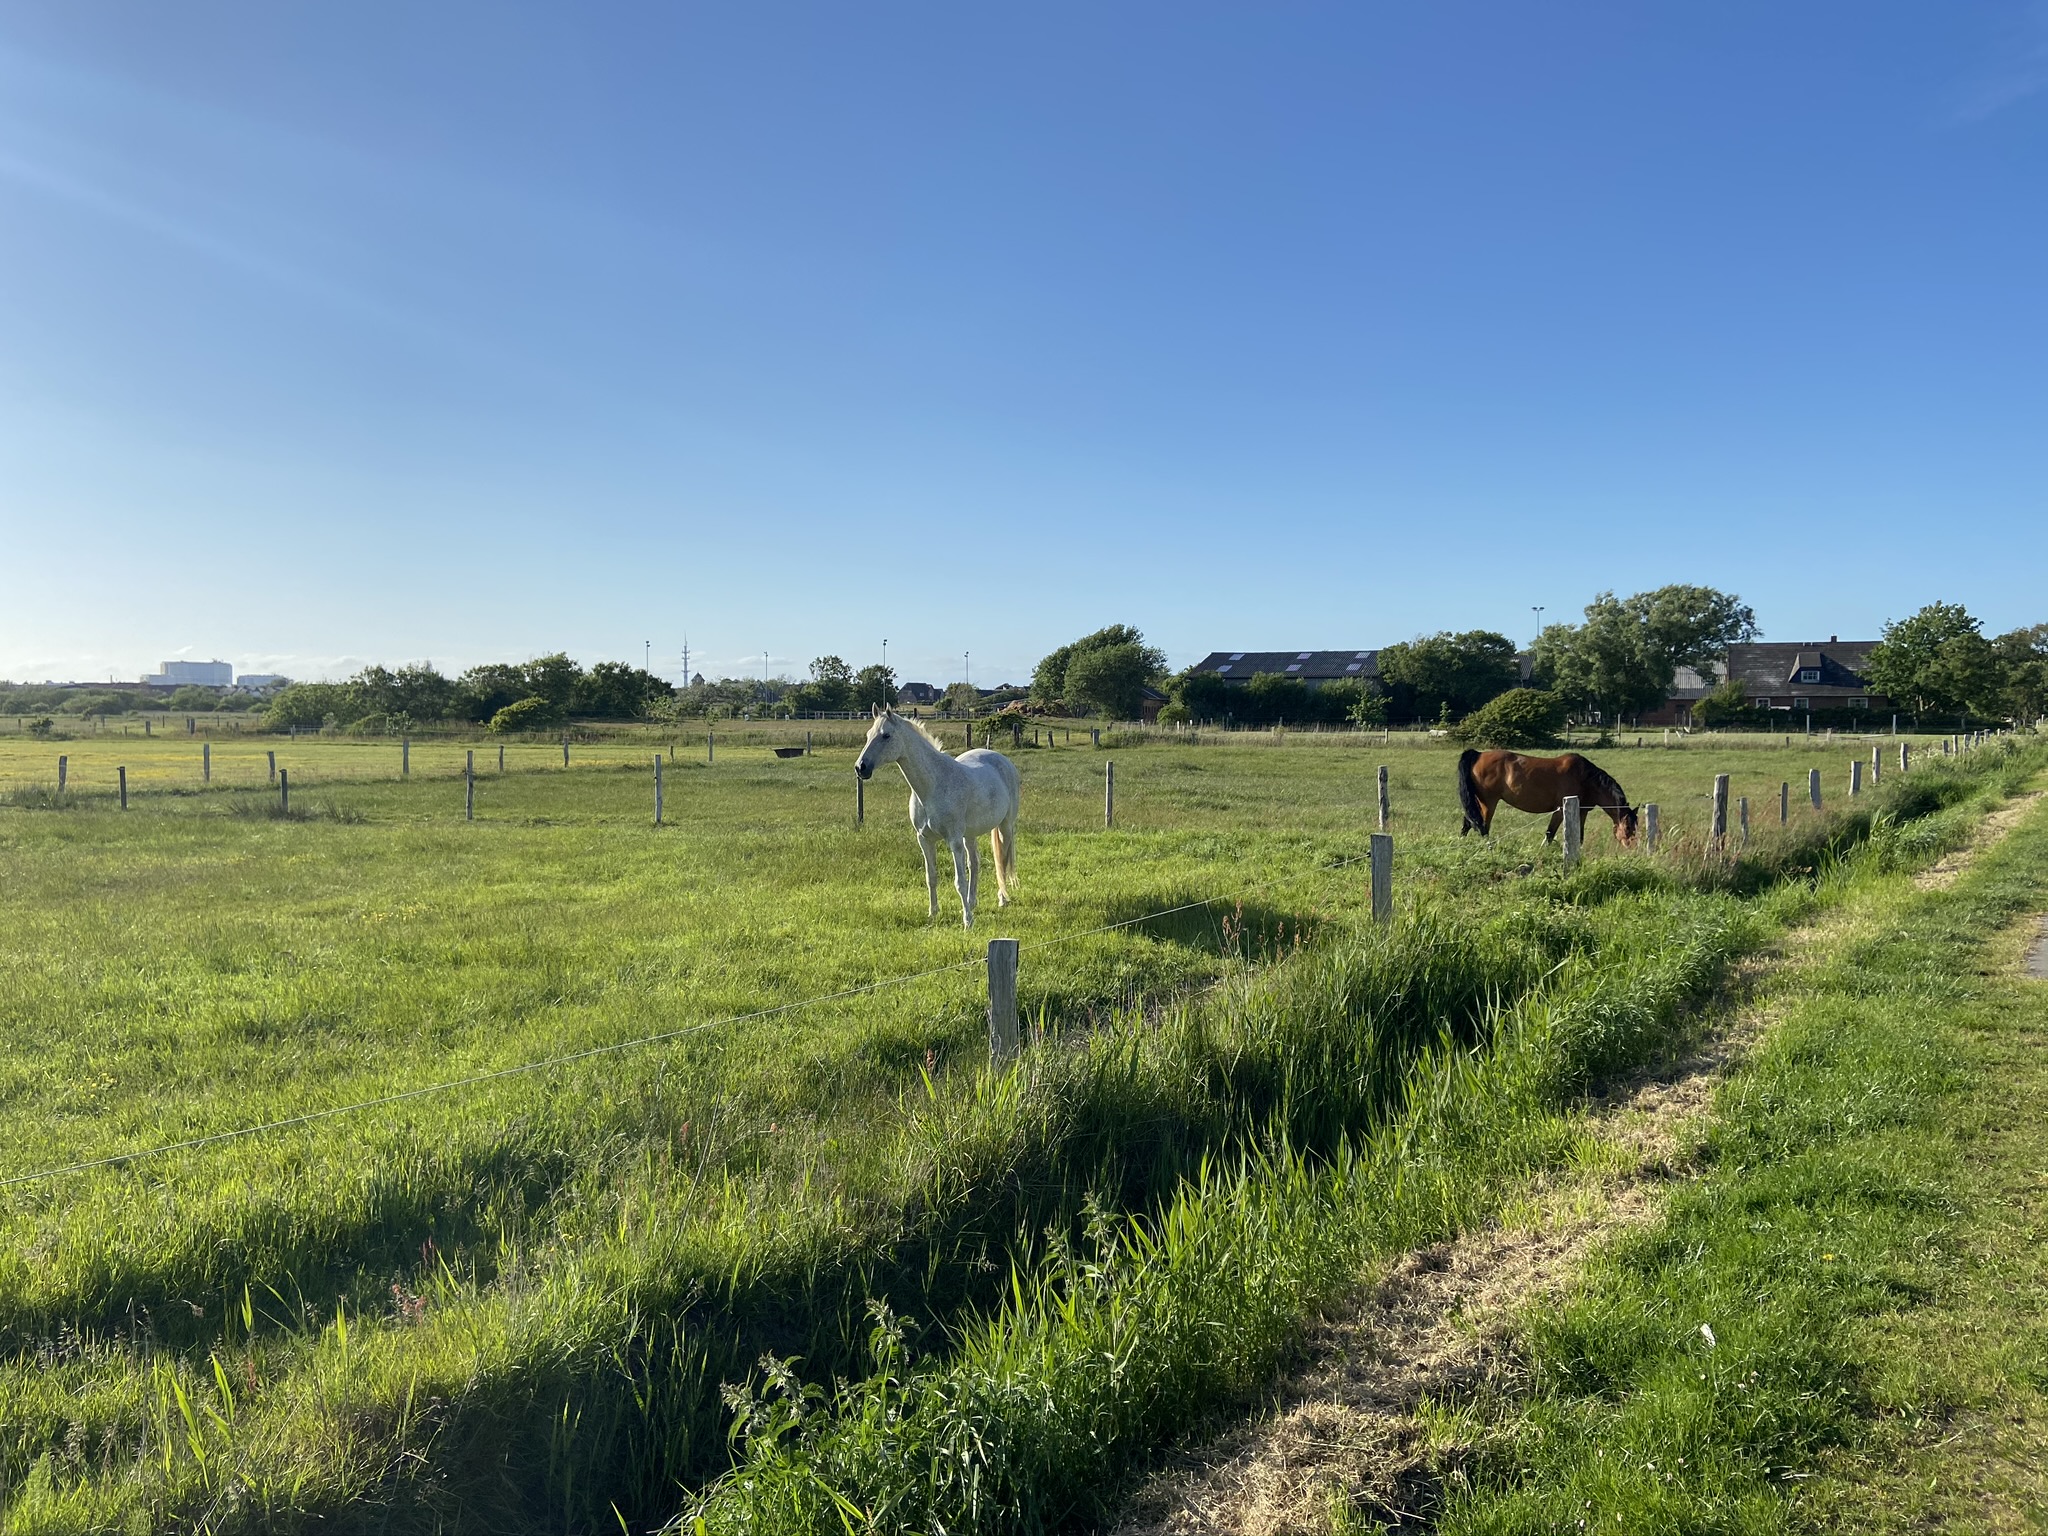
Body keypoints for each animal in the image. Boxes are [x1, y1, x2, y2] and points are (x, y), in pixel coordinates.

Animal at [851, 708, 1019, 933]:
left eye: (886, 735)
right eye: (869, 734)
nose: (860, 768)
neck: (933, 785)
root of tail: (1002, 759)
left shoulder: (954, 841)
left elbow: (959, 881)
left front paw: (967, 921)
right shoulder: (924, 839)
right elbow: (931, 877)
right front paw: (933, 914)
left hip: (1005, 827)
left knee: (1002, 861)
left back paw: (1002, 899)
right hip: (970, 835)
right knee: (975, 862)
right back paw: (972, 902)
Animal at [1449, 753, 1638, 847]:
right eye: (1628, 827)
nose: (1632, 846)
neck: (1585, 778)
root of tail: (1478, 754)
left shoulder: (1581, 812)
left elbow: (1580, 837)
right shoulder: (1560, 811)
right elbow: (1549, 834)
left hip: (1478, 801)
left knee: (1469, 823)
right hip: (1489, 802)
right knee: (1483, 827)